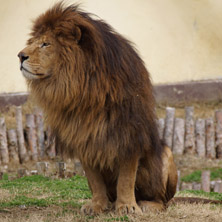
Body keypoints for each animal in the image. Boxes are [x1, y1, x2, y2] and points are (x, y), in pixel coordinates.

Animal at [18, 2, 179, 215]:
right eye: (33, 42)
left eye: (46, 44)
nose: (20, 56)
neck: (82, 89)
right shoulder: (83, 136)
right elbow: (95, 180)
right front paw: (97, 206)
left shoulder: (128, 133)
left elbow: (126, 177)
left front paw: (127, 207)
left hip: (166, 154)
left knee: (164, 201)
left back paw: (146, 204)